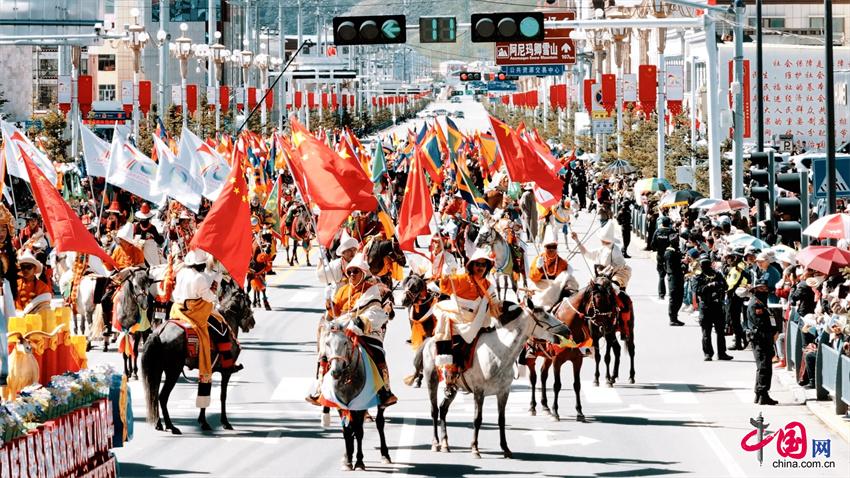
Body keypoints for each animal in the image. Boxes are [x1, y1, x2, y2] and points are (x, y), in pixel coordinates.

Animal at [142, 276, 255, 434]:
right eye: (248, 302)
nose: (252, 323)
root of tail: (158, 333)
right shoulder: (225, 371)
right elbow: (222, 396)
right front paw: (225, 422)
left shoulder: (207, 369)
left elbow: (205, 390)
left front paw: (203, 421)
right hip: (173, 371)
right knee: (162, 397)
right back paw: (171, 426)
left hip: (158, 370)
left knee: (154, 393)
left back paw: (159, 424)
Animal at [322, 322, 392, 470]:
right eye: (327, 343)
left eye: (344, 342)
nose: (335, 372)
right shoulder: (341, 405)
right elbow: (347, 431)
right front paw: (348, 460)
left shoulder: (361, 404)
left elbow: (359, 431)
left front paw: (359, 461)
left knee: (379, 423)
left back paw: (385, 454)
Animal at [408, 300, 568, 458]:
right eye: (545, 316)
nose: (567, 330)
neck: (499, 353)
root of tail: (430, 340)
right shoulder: (479, 391)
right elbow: (477, 419)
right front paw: (475, 448)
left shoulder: (503, 392)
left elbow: (501, 419)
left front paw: (505, 448)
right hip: (432, 379)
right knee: (434, 410)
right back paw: (436, 443)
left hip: (453, 386)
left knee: (443, 409)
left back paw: (445, 444)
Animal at [524, 276, 616, 422]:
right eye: (598, 299)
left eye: (609, 298)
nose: (609, 327)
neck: (570, 326)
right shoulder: (557, 360)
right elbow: (557, 385)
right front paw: (556, 412)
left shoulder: (577, 360)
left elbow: (577, 385)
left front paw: (579, 412)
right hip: (531, 357)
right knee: (533, 378)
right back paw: (533, 407)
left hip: (547, 357)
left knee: (543, 375)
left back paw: (545, 406)